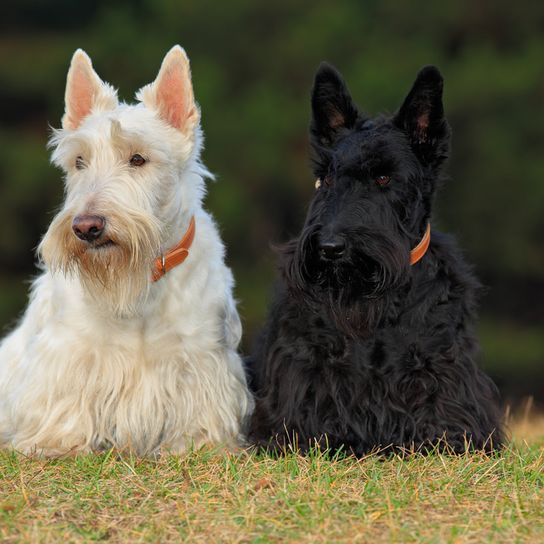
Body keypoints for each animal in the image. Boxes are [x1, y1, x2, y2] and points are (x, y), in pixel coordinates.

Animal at [0, 45, 254, 454]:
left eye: (137, 159)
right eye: (79, 161)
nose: (86, 227)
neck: (139, 284)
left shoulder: (201, 356)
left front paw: (198, 442)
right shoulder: (68, 351)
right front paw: (58, 441)